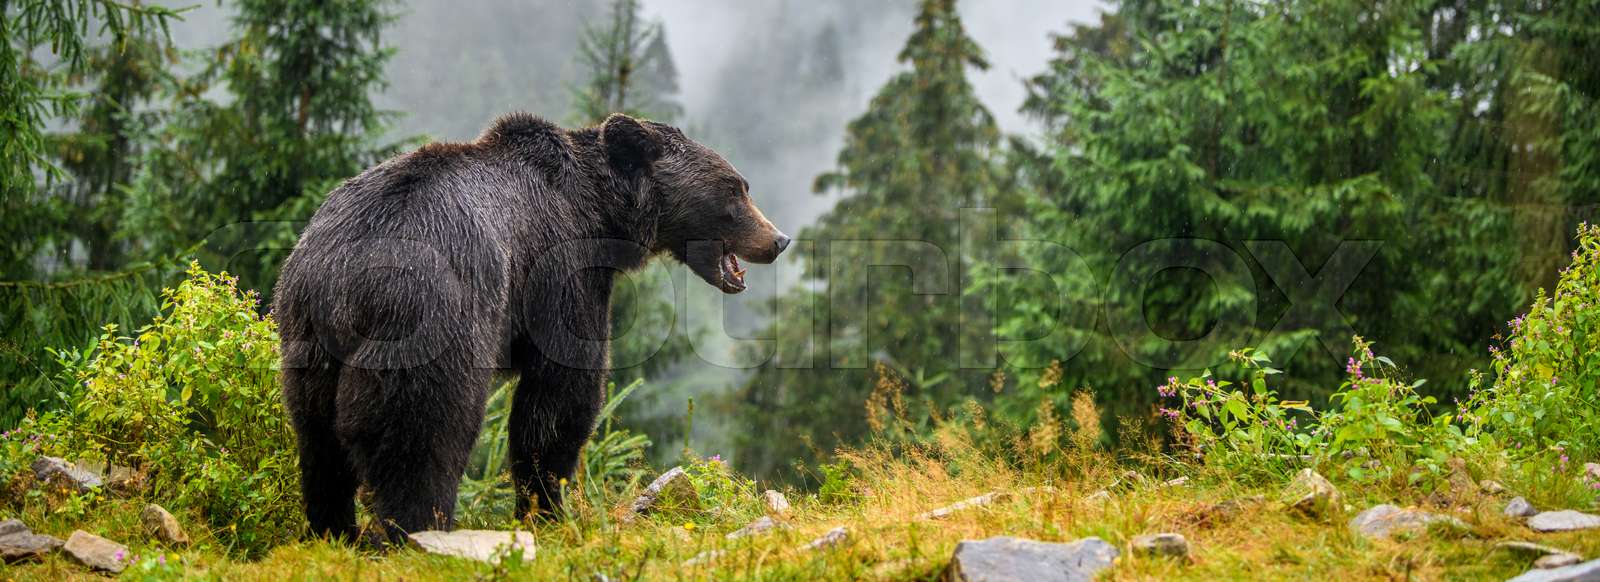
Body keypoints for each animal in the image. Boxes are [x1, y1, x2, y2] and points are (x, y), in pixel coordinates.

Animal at [272, 113, 789, 543]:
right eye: (734, 188)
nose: (778, 239)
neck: (600, 213)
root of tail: (346, 276)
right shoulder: (560, 273)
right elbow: (560, 395)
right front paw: (548, 508)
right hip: (428, 318)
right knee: (424, 430)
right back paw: (414, 529)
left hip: (306, 339)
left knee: (318, 442)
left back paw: (333, 530)